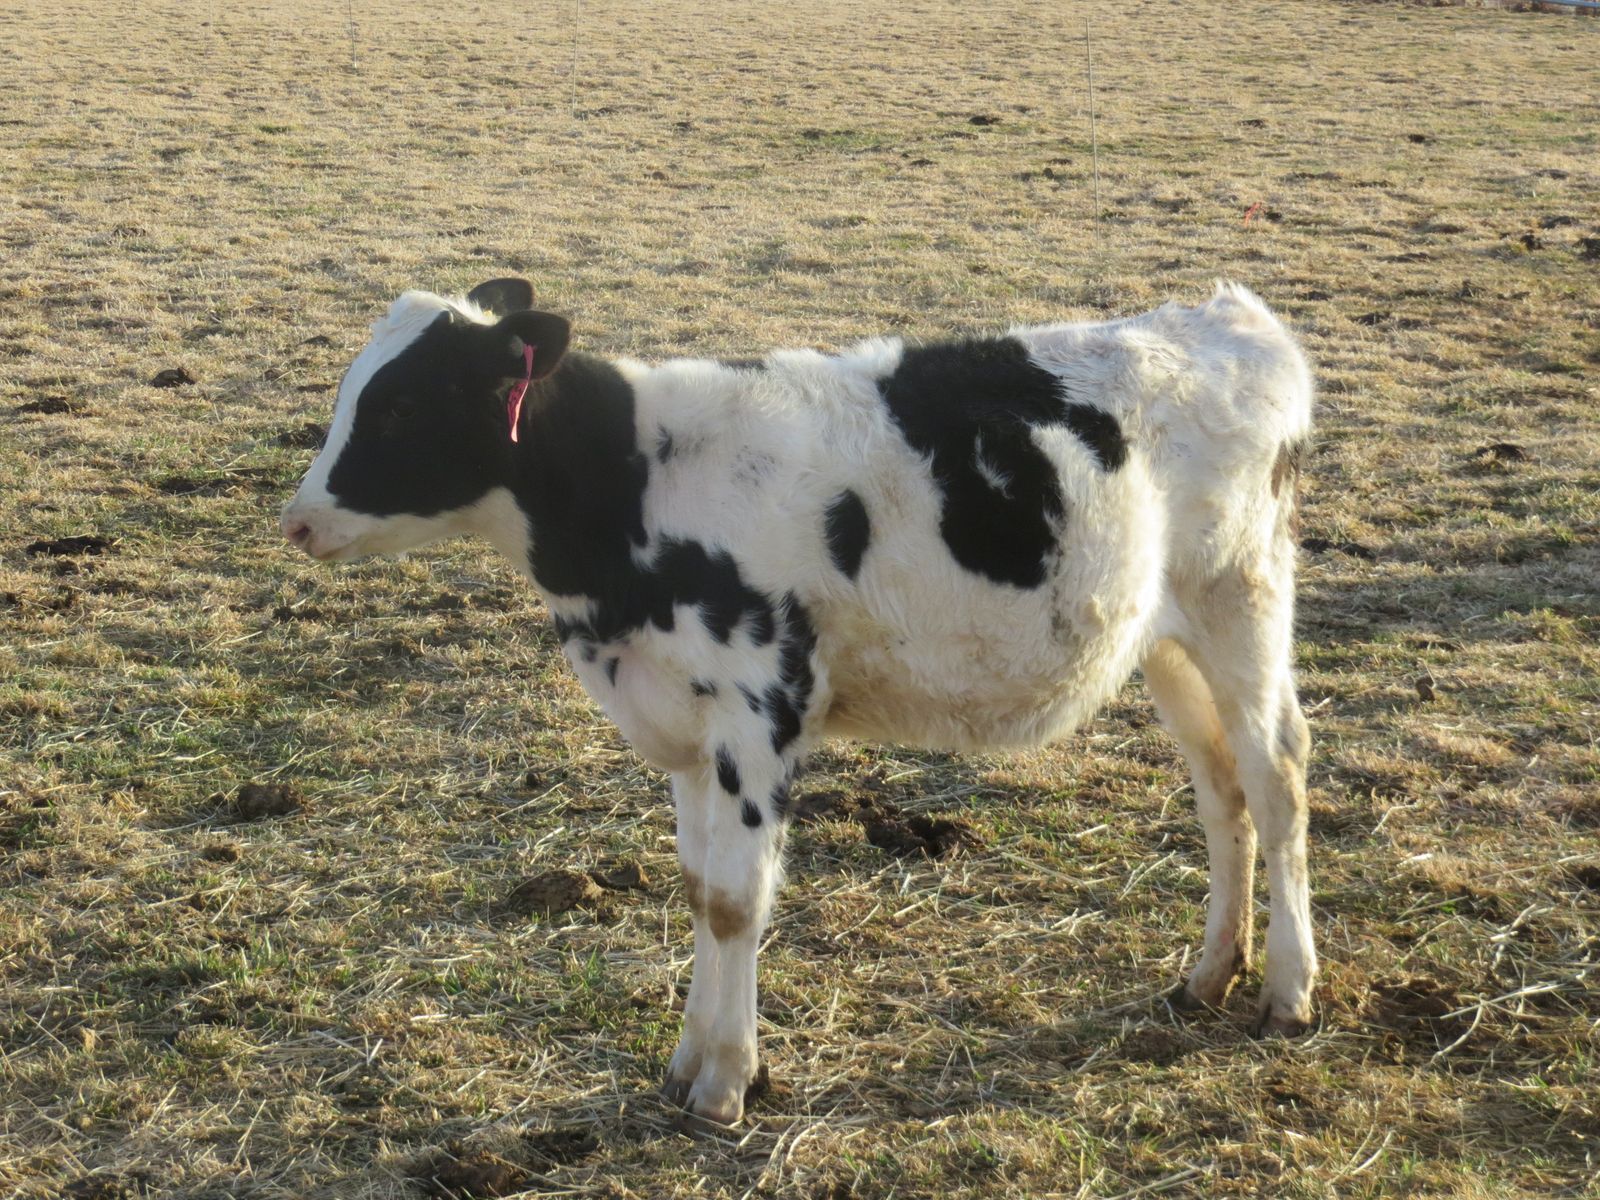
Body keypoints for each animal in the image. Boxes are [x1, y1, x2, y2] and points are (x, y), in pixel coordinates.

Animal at [281, 277, 1318, 1124]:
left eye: (401, 404)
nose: (296, 521)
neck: (635, 491)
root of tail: (1231, 316)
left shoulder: (760, 710)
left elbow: (739, 901)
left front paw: (727, 1084)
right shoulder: (687, 722)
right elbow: (701, 891)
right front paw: (688, 1062)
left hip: (1243, 599)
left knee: (1277, 777)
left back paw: (1288, 989)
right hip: (1165, 639)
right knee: (1219, 787)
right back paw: (1209, 973)